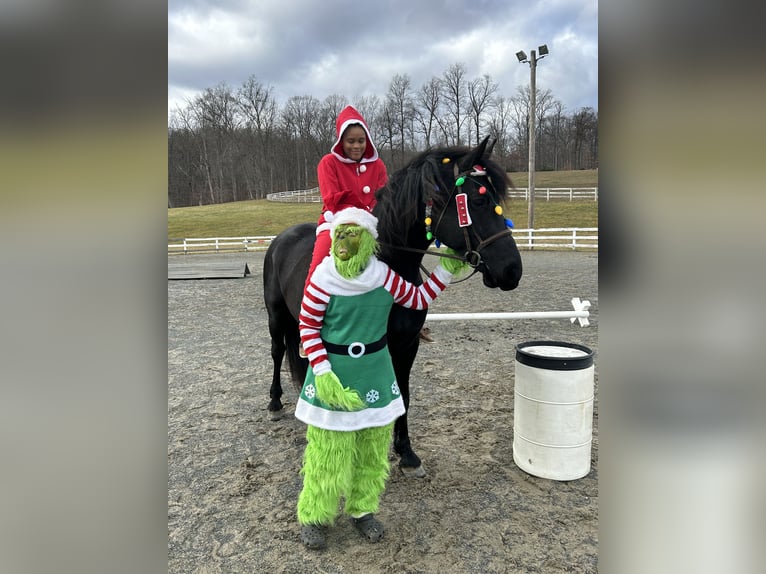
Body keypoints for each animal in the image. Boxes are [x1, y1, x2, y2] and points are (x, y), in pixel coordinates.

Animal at [262, 137, 520, 480]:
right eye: (477, 201)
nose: (512, 270)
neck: (389, 261)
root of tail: (281, 239)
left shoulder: (407, 344)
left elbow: (404, 394)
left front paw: (406, 451)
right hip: (276, 317)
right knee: (278, 352)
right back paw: (275, 403)